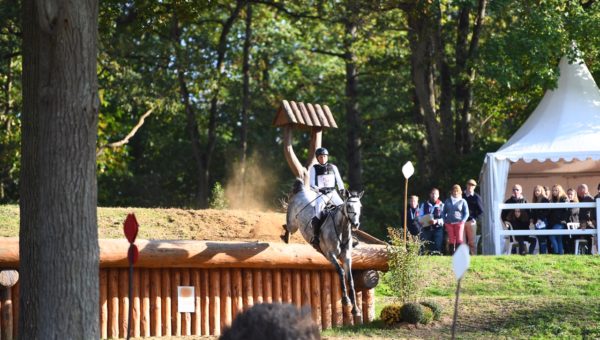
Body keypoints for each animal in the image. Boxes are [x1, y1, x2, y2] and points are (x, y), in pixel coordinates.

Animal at [284, 179, 364, 318]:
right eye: (349, 206)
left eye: (360, 206)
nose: (355, 224)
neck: (341, 230)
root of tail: (301, 191)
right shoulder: (330, 254)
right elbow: (341, 272)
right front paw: (345, 301)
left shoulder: (347, 257)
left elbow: (351, 280)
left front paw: (356, 310)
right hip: (293, 224)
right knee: (287, 227)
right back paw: (285, 239)